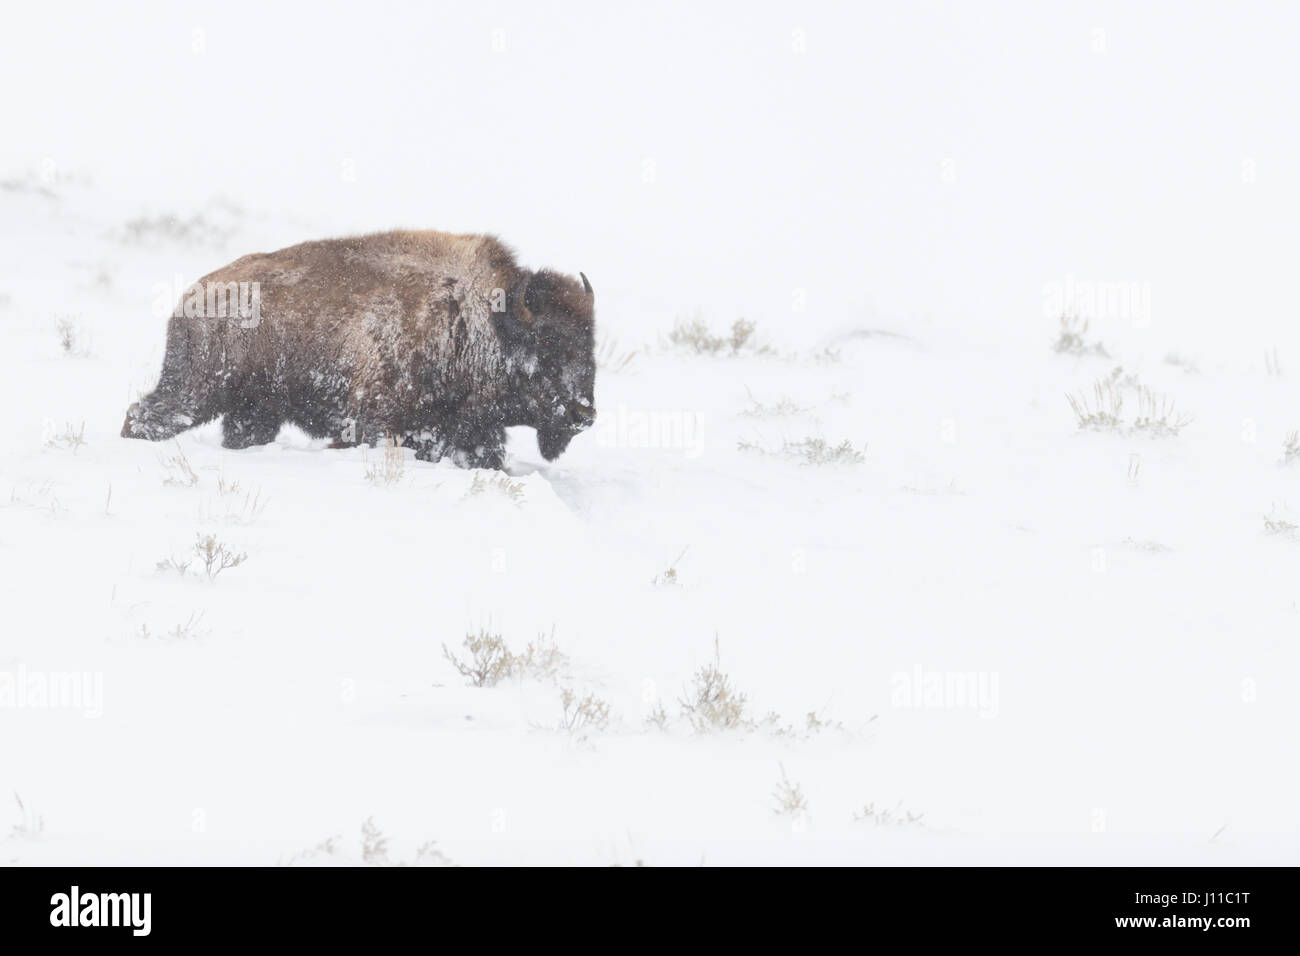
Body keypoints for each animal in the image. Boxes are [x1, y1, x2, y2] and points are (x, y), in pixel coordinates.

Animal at [119, 231, 595, 470]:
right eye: (546, 348)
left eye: (589, 349)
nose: (584, 414)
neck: (483, 319)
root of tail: (193, 295)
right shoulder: (374, 419)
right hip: (196, 392)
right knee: (145, 415)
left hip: (255, 410)